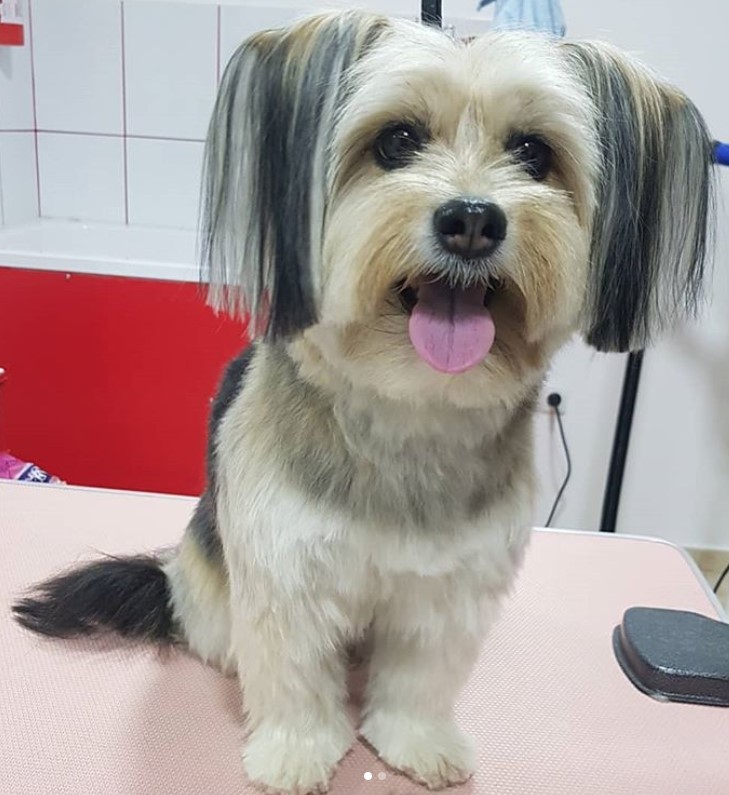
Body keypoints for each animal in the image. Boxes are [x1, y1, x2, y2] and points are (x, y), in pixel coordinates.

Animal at [14, 12, 712, 795]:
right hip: (209, 582)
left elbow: (420, 673)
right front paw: (295, 751)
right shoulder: (284, 573)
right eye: (396, 140)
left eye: (533, 151)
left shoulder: (450, 587)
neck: (410, 409)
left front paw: (416, 739)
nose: (472, 220)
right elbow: (292, 670)